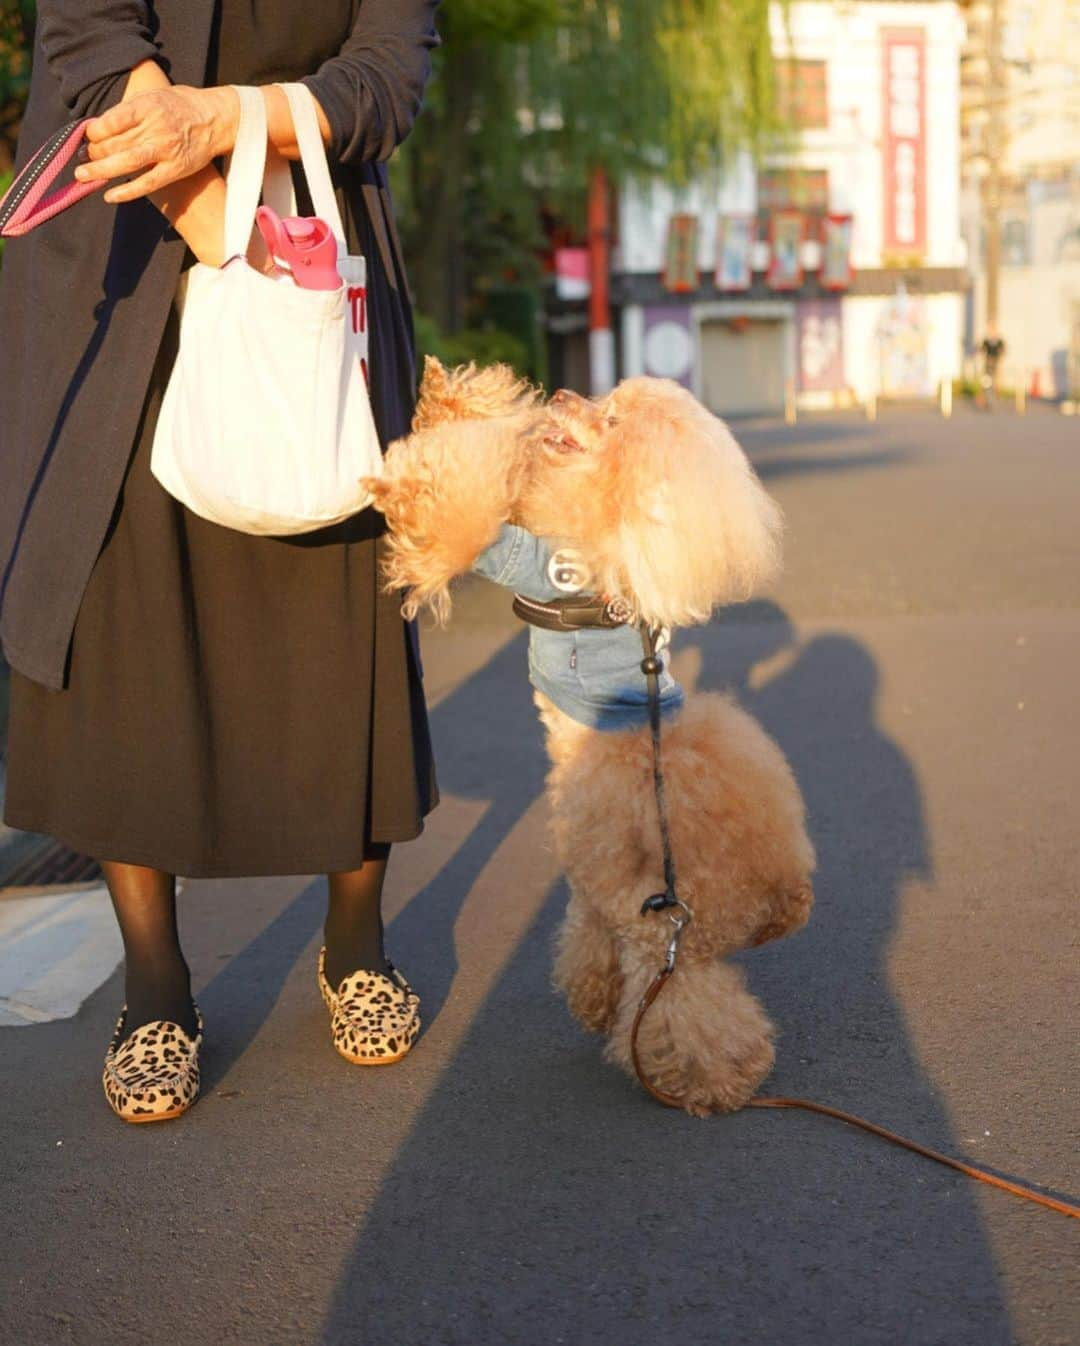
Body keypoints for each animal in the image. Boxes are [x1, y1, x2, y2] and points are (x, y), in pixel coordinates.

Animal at [366, 358, 813, 1114]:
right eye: (607, 396)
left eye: (609, 420)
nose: (568, 392)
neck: (610, 531)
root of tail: (785, 889)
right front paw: (452, 393)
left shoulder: (526, 557)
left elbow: (461, 515)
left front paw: (397, 481)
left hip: (661, 923)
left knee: (686, 1002)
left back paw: (708, 1080)